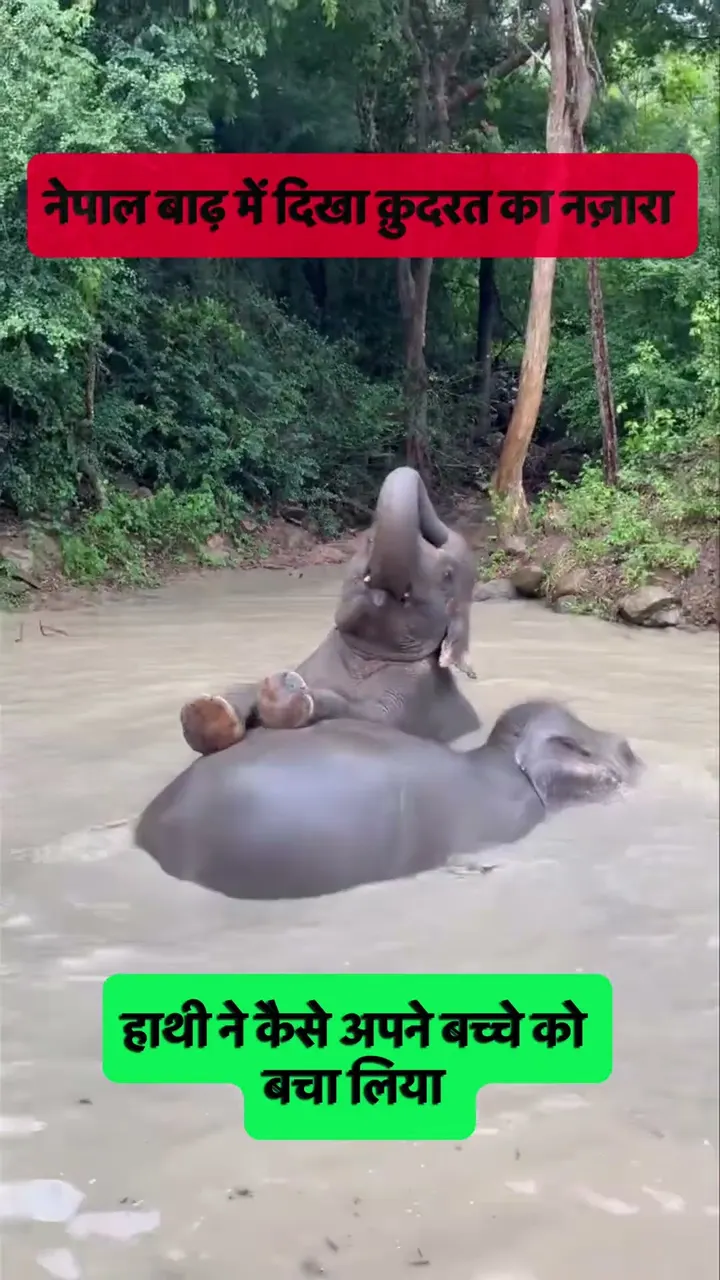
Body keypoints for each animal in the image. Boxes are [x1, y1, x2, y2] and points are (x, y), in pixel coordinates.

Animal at [180, 466, 482, 757]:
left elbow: (372, 718)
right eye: (368, 541)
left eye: (447, 575)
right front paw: (206, 713)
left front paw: (286, 695)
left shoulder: (415, 699)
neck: (364, 656)